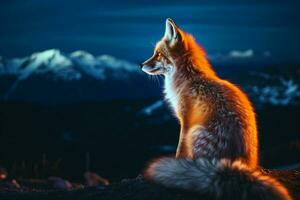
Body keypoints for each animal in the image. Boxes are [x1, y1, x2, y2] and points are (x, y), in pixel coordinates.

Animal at [141, 18, 292, 200]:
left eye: (158, 55)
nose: (140, 64)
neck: (188, 79)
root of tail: (235, 166)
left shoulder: (186, 122)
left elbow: (179, 150)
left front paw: (176, 162)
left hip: (195, 133)